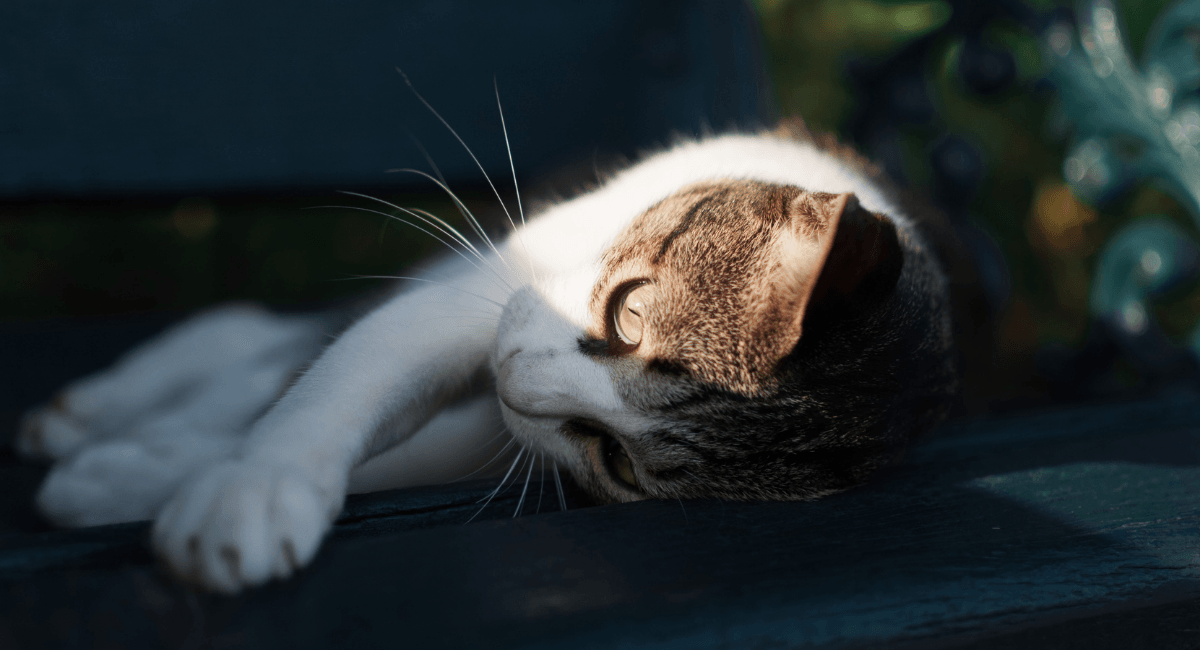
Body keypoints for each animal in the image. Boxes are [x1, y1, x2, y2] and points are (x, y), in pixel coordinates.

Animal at [16, 117, 964, 597]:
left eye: (616, 459)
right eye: (629, 312)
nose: (514, 378)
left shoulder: (496, 425)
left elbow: (423, 450)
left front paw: (135, 479)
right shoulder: (502, 279)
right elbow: (351, 371)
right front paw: (250, 485)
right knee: (262, 340)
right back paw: (102, 411)